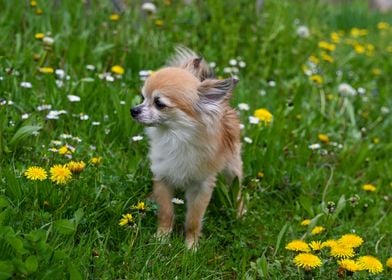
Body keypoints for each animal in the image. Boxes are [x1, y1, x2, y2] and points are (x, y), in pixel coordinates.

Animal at [132, 47, 242, 248]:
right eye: (142, 98)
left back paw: (239, 213)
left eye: (159, 103)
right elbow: (166, 212)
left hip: (233, 167)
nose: (133, 110)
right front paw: (161, 238)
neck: (176, 137)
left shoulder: (202, 185)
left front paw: (191, 245)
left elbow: (193, 219)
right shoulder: (162, 177)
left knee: (237, 190)